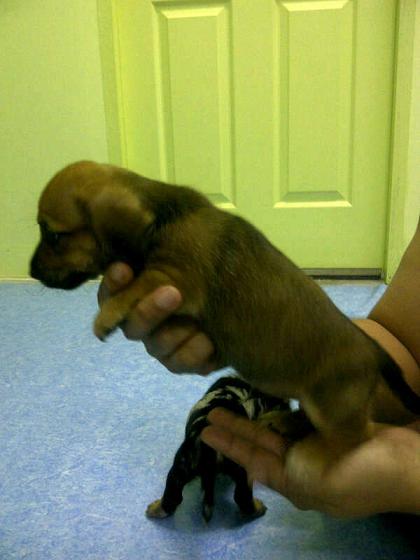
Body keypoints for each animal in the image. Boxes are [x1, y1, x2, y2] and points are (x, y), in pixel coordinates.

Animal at [146, 375, 290, 522]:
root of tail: (209, 447)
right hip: (241, 469)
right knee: (242, 497)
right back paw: (258, 509)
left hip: (181, 466)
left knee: (172, 494)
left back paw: (155, 510)